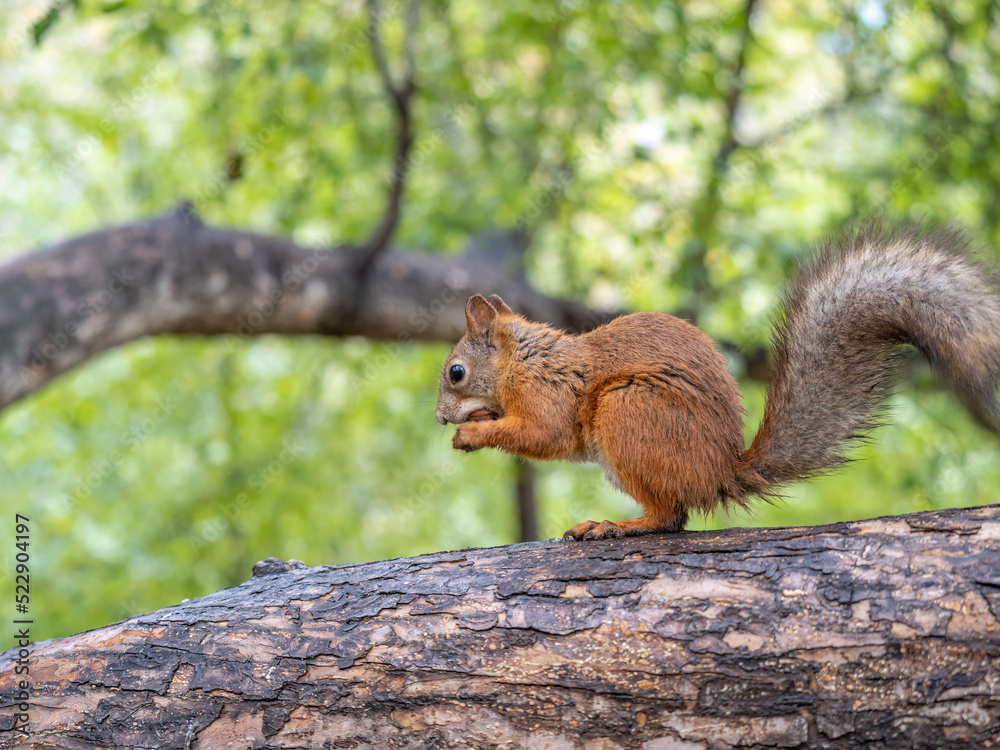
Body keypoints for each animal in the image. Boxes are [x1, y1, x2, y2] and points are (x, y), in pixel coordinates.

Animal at [435, 220, 1000, 540]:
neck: (522, 361)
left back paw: (615, 526)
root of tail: (720, 472)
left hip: (628, 409)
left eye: (456, 372)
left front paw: (472, 433)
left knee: (669, 516)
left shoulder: (547, 394)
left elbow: (542, 434)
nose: (440, 417)